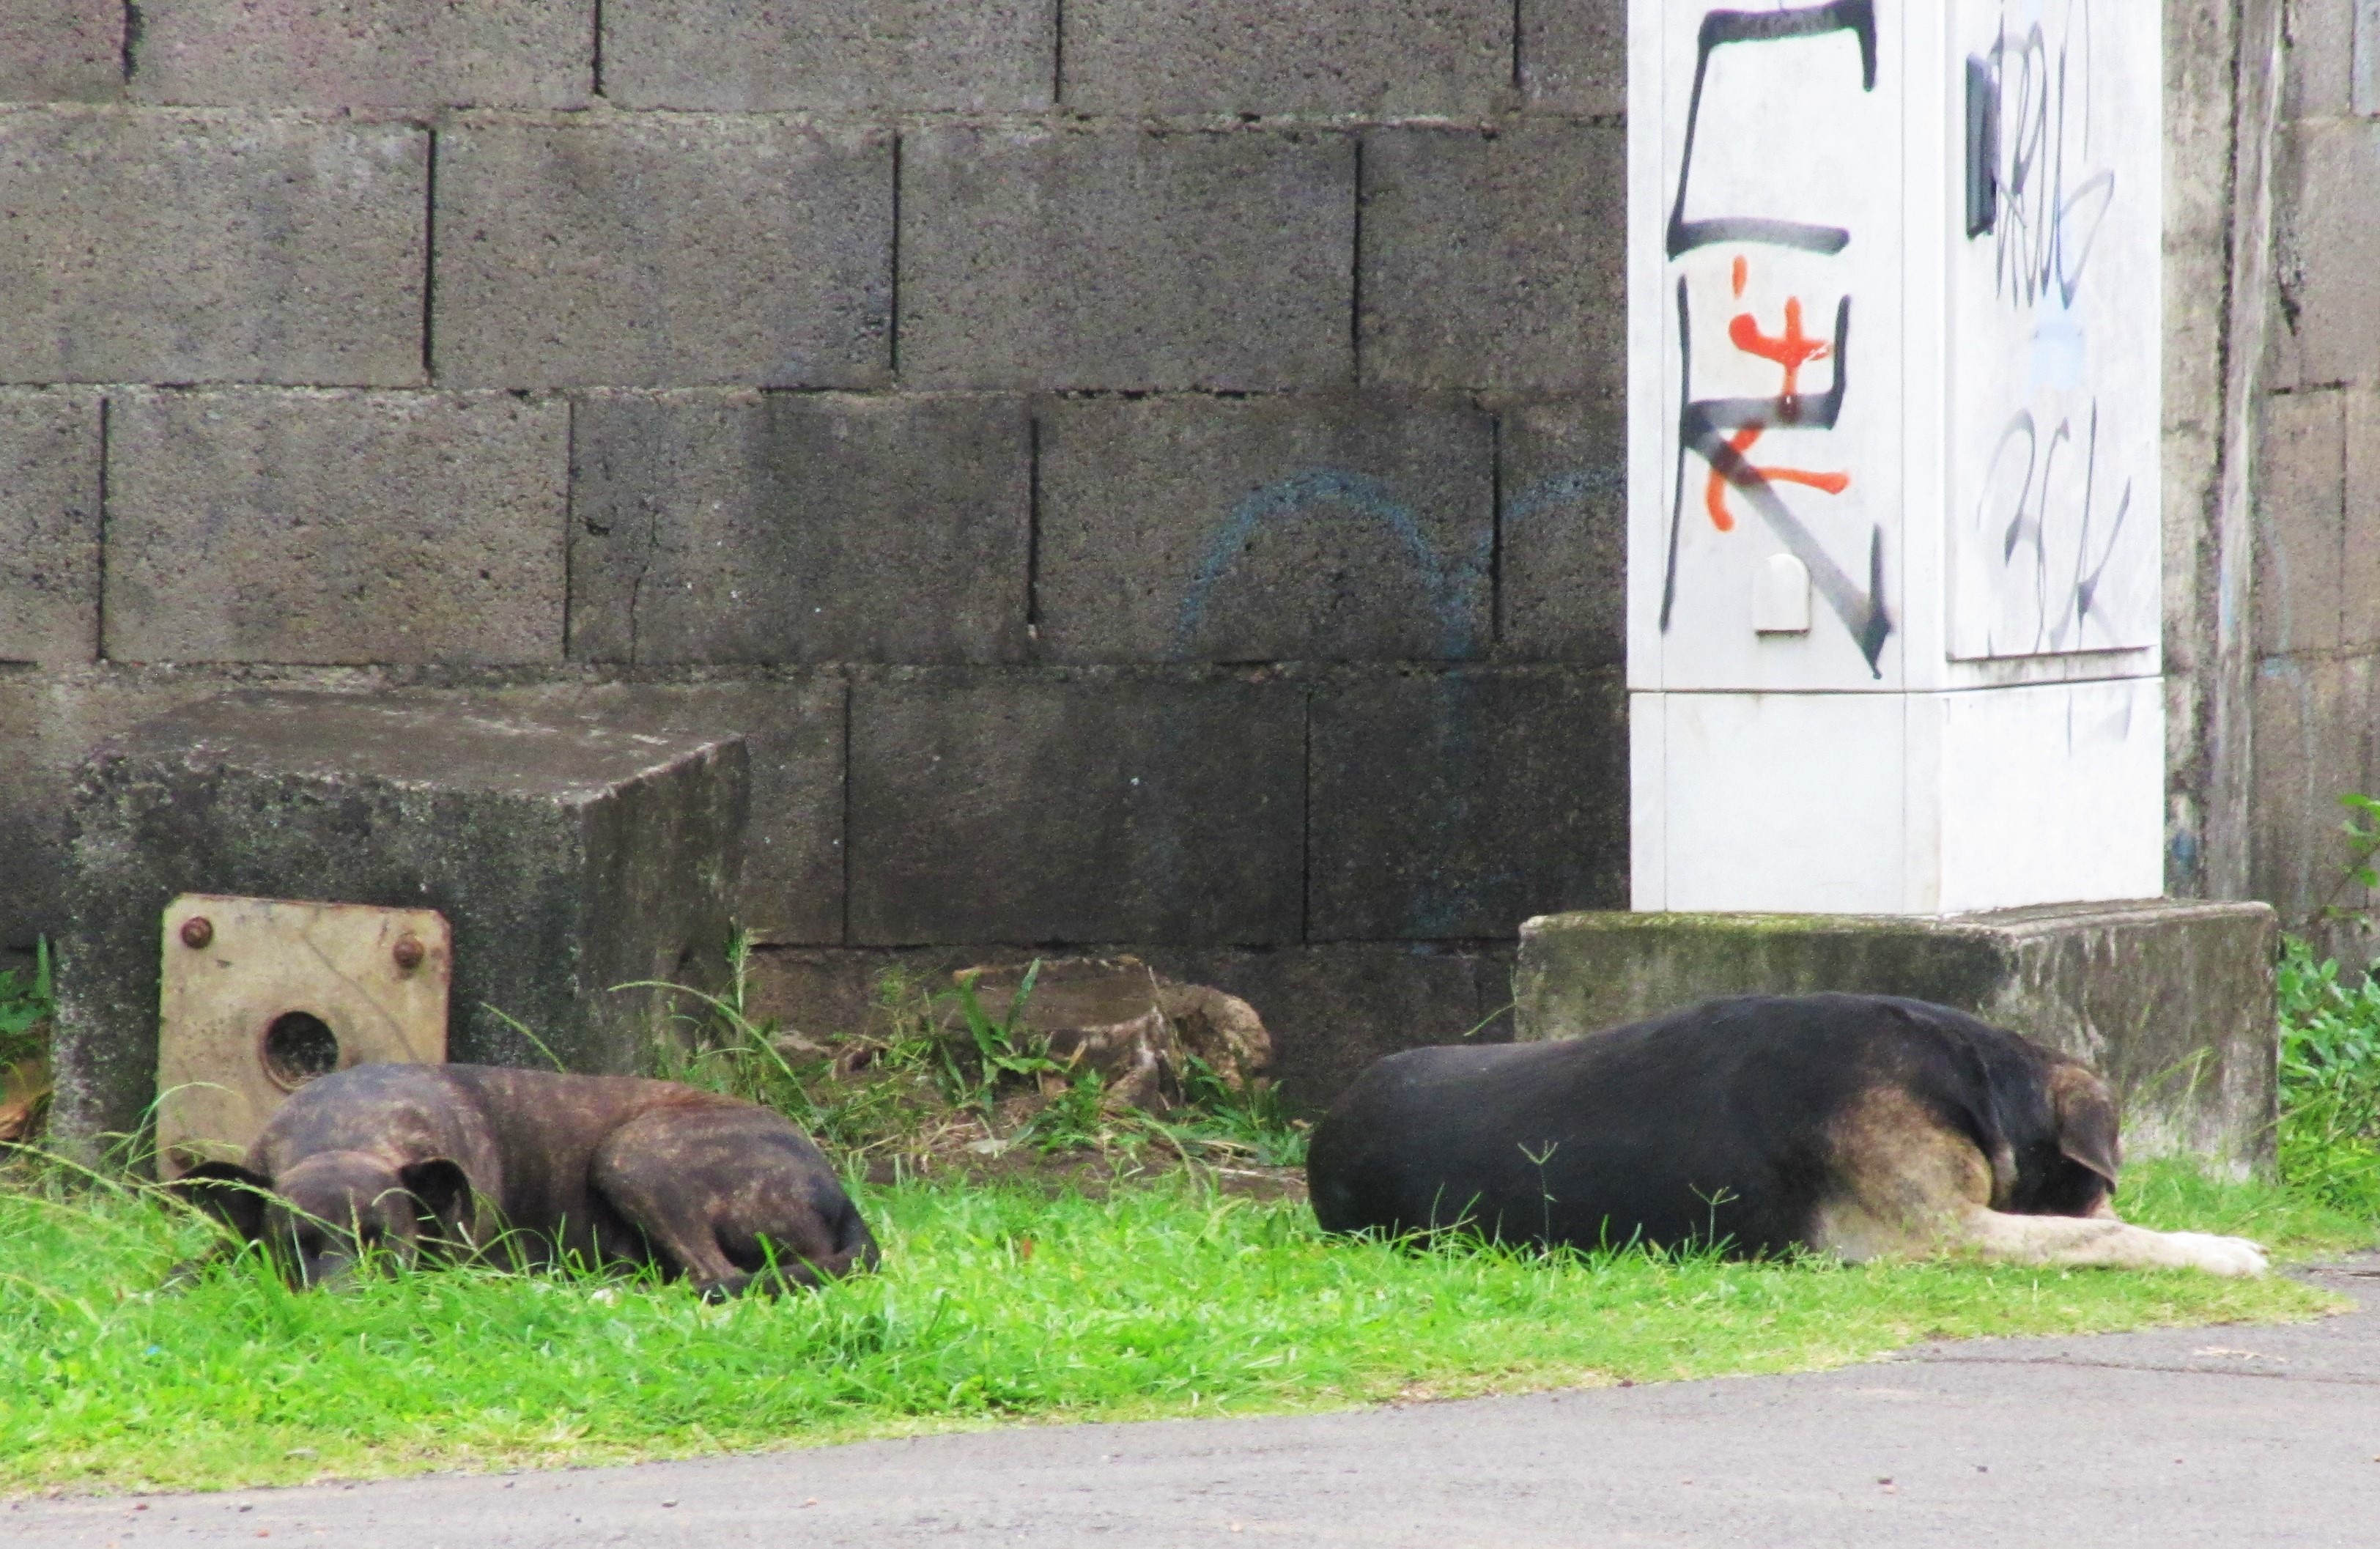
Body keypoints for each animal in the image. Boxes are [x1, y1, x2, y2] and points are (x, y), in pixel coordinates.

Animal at [174, 1065, 885, 1294]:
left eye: (387, 1244)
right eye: (296, 1247)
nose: (345, 1305)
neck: (344, 1130)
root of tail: (839, 1196)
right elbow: (185, 1268)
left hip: (635, 1153)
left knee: (717, 1277)